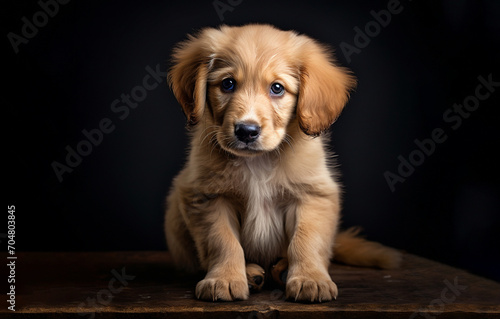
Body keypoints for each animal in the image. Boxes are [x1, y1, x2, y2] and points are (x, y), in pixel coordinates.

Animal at [166, 24, 400, 302]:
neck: (258, 161)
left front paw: (310, 279)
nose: (246, 131)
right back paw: (252, 273)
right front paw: (224, 279)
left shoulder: (312, 195)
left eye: (277, 88)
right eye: (228, 84)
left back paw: (281, 269)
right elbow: (223, 241)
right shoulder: (208, 197)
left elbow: (306, 239)